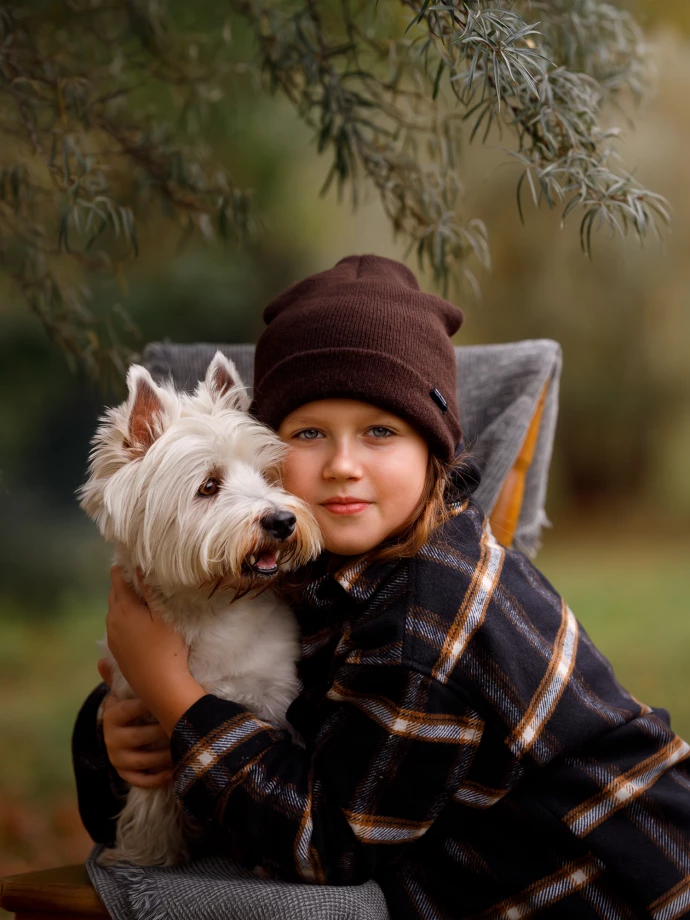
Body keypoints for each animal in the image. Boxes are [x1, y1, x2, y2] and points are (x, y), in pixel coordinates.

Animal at [79, 348, 322, 868]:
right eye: (208, 486)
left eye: (267, 475)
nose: (282, 520)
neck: (209, 611)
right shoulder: (144, 712)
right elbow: (151, 796)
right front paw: (147, 852)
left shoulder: (276, 702)